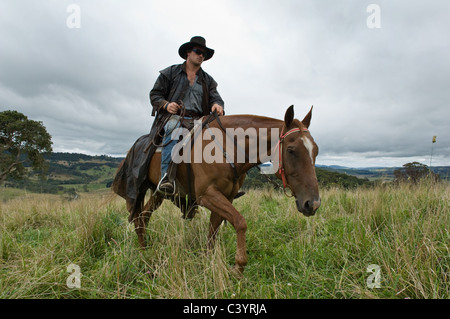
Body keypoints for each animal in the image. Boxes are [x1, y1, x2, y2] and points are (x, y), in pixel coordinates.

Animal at [130, 105, 320, 276]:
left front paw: (208, 260)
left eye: (316, 151)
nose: (313, 204)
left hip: (158, 194)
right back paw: (144, 252)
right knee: (139, 216)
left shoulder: (225, 197)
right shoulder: (207, 195)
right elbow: (240, 222)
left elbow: (213, 230)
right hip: (143, 190)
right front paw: (238, 266)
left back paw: (145, 249)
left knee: (143, 217)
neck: (228, 148)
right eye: (291, 150)